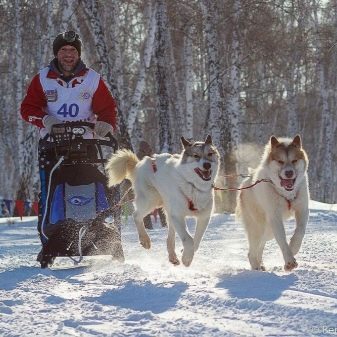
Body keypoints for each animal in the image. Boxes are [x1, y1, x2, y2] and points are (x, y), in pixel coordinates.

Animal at [106, 135, 219, 266]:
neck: (194, 187)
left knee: (170, 237)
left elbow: (196, 241)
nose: (207, 165)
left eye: (210, 153)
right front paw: (186, 259)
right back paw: (145, 239)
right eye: (196, 155)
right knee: (136, 215)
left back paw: (172, 256)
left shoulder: (204, 218)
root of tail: (142, 162)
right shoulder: (178, 216)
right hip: (150, 200)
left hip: (168, 212)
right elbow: (189, 240)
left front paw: (185, 253)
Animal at [235, 134, 308, 270]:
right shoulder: (275, 217)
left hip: (268, 230)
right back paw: (256, 266)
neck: (286, 194)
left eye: (294, 160)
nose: (289, 172)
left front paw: (294, 248)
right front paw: (289, 261)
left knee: (260, 245)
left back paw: (260, 264)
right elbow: (282, 239)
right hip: (258, 227)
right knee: (252, 251)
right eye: (280, 161)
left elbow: (300, 231)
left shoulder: (302, 210)